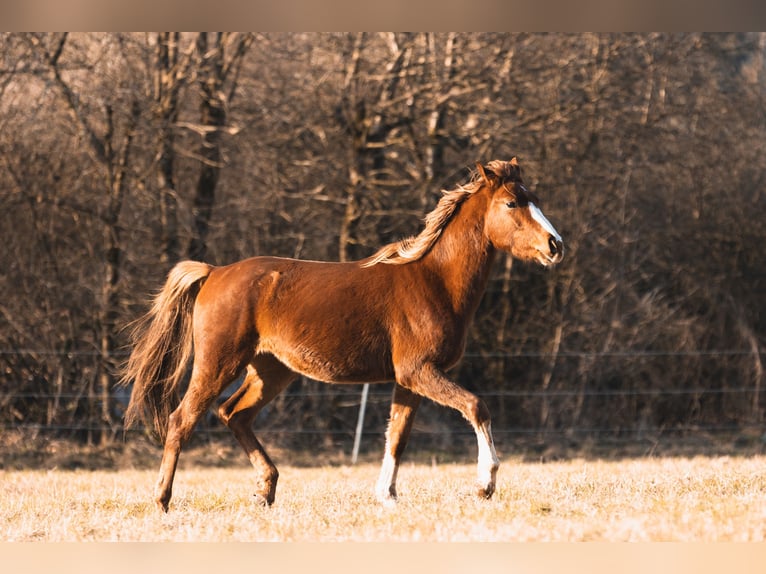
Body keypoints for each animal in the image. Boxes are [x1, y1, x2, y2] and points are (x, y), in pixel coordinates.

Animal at [121, 159, 564, 512]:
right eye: (512, 203)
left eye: (535, 199)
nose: (555, 245)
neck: (433, 281)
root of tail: (214, 272)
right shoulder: (419, 371)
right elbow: (476, 406)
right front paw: (485, 483)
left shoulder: (409, 380)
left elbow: (397, 437)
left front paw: (387, 496)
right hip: (218, 362)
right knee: (182, 420)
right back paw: (162, 500)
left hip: (271, 370)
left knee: (234, 414)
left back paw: (265, 491)